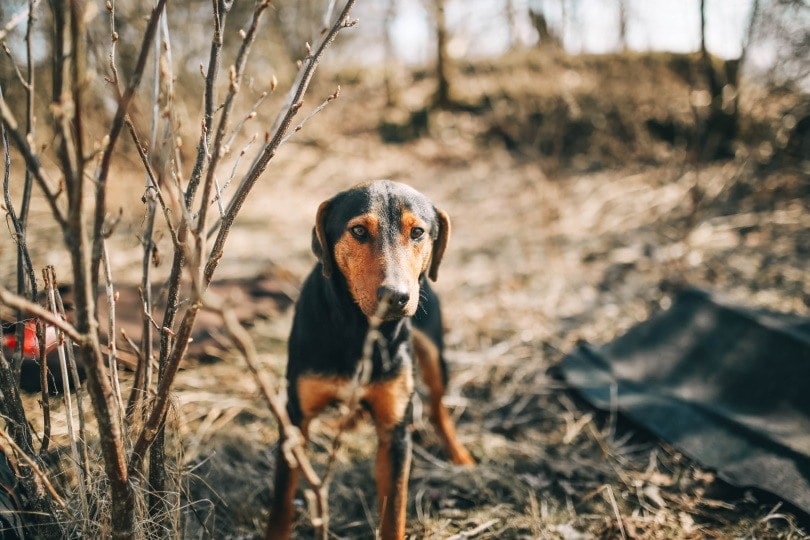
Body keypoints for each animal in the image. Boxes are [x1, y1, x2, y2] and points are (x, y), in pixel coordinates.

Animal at [266, 179, 474, 536]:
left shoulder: (395, 434)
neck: (359, 329)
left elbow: (394, 514)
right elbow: (281, 502)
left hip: (434, 355)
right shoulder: (295, 417)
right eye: (359, 231)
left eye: (417, 232)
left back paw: (459, 456)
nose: (397, 296)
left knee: (437, 407)